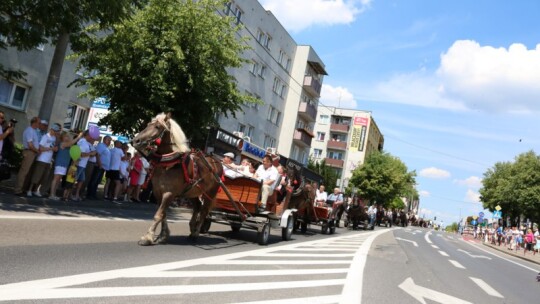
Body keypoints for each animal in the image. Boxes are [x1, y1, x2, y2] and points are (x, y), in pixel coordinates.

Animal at [132, 113, 223, 246]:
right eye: (148, 124)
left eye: (158, 127)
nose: (135, 141)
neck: (168, 164)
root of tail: (216, 161)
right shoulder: (158, 192)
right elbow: (163, 214)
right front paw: (163, 236)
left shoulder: (169, 193)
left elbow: (158, 215)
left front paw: (148, 237)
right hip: (193, 192)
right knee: (197, 207)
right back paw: (192, 229)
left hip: (209, 193)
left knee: (204, 211)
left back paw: (196, 233)